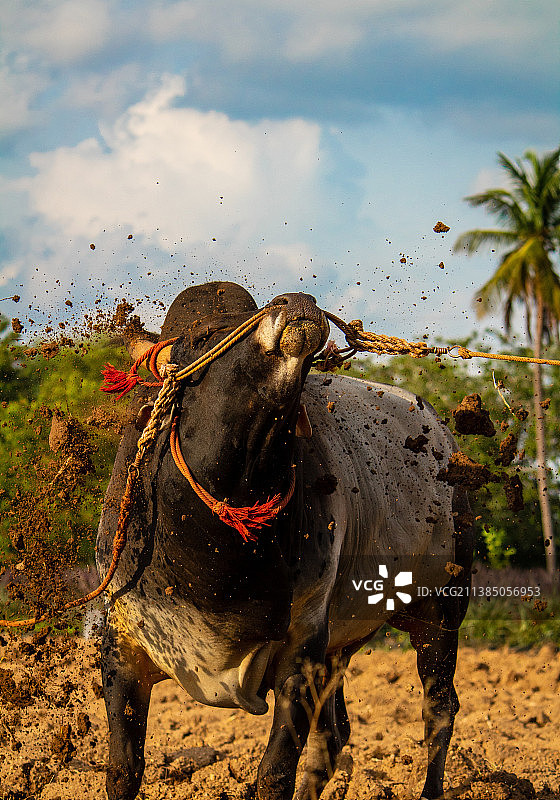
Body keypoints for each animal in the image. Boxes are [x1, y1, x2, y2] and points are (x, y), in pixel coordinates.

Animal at [96, 280, 472, 800]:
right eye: (205, 335)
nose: (297, 302)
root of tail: (439, 431)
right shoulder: (124, 650)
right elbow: (123, 769)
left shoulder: (303, 650)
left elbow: (274, 773)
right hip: (344, 645)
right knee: (334, 735)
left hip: (439, 613)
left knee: (438, 710)